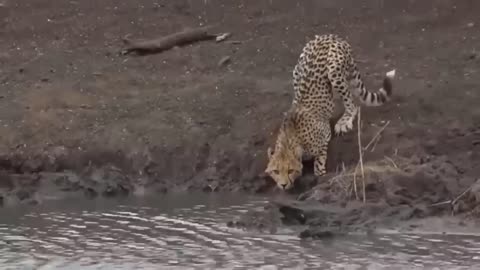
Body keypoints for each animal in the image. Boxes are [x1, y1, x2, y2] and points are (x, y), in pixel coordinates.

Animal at [264, 33, 396, 190]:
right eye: (275, 171)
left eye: (290, 170)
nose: (283, 185)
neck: (289, 140)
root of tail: (330, 36)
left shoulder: (324, 135)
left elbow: (319, 161)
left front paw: (320, 173)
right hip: (297, 69)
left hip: (334, 71)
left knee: (352, 104)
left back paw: (344, 121)